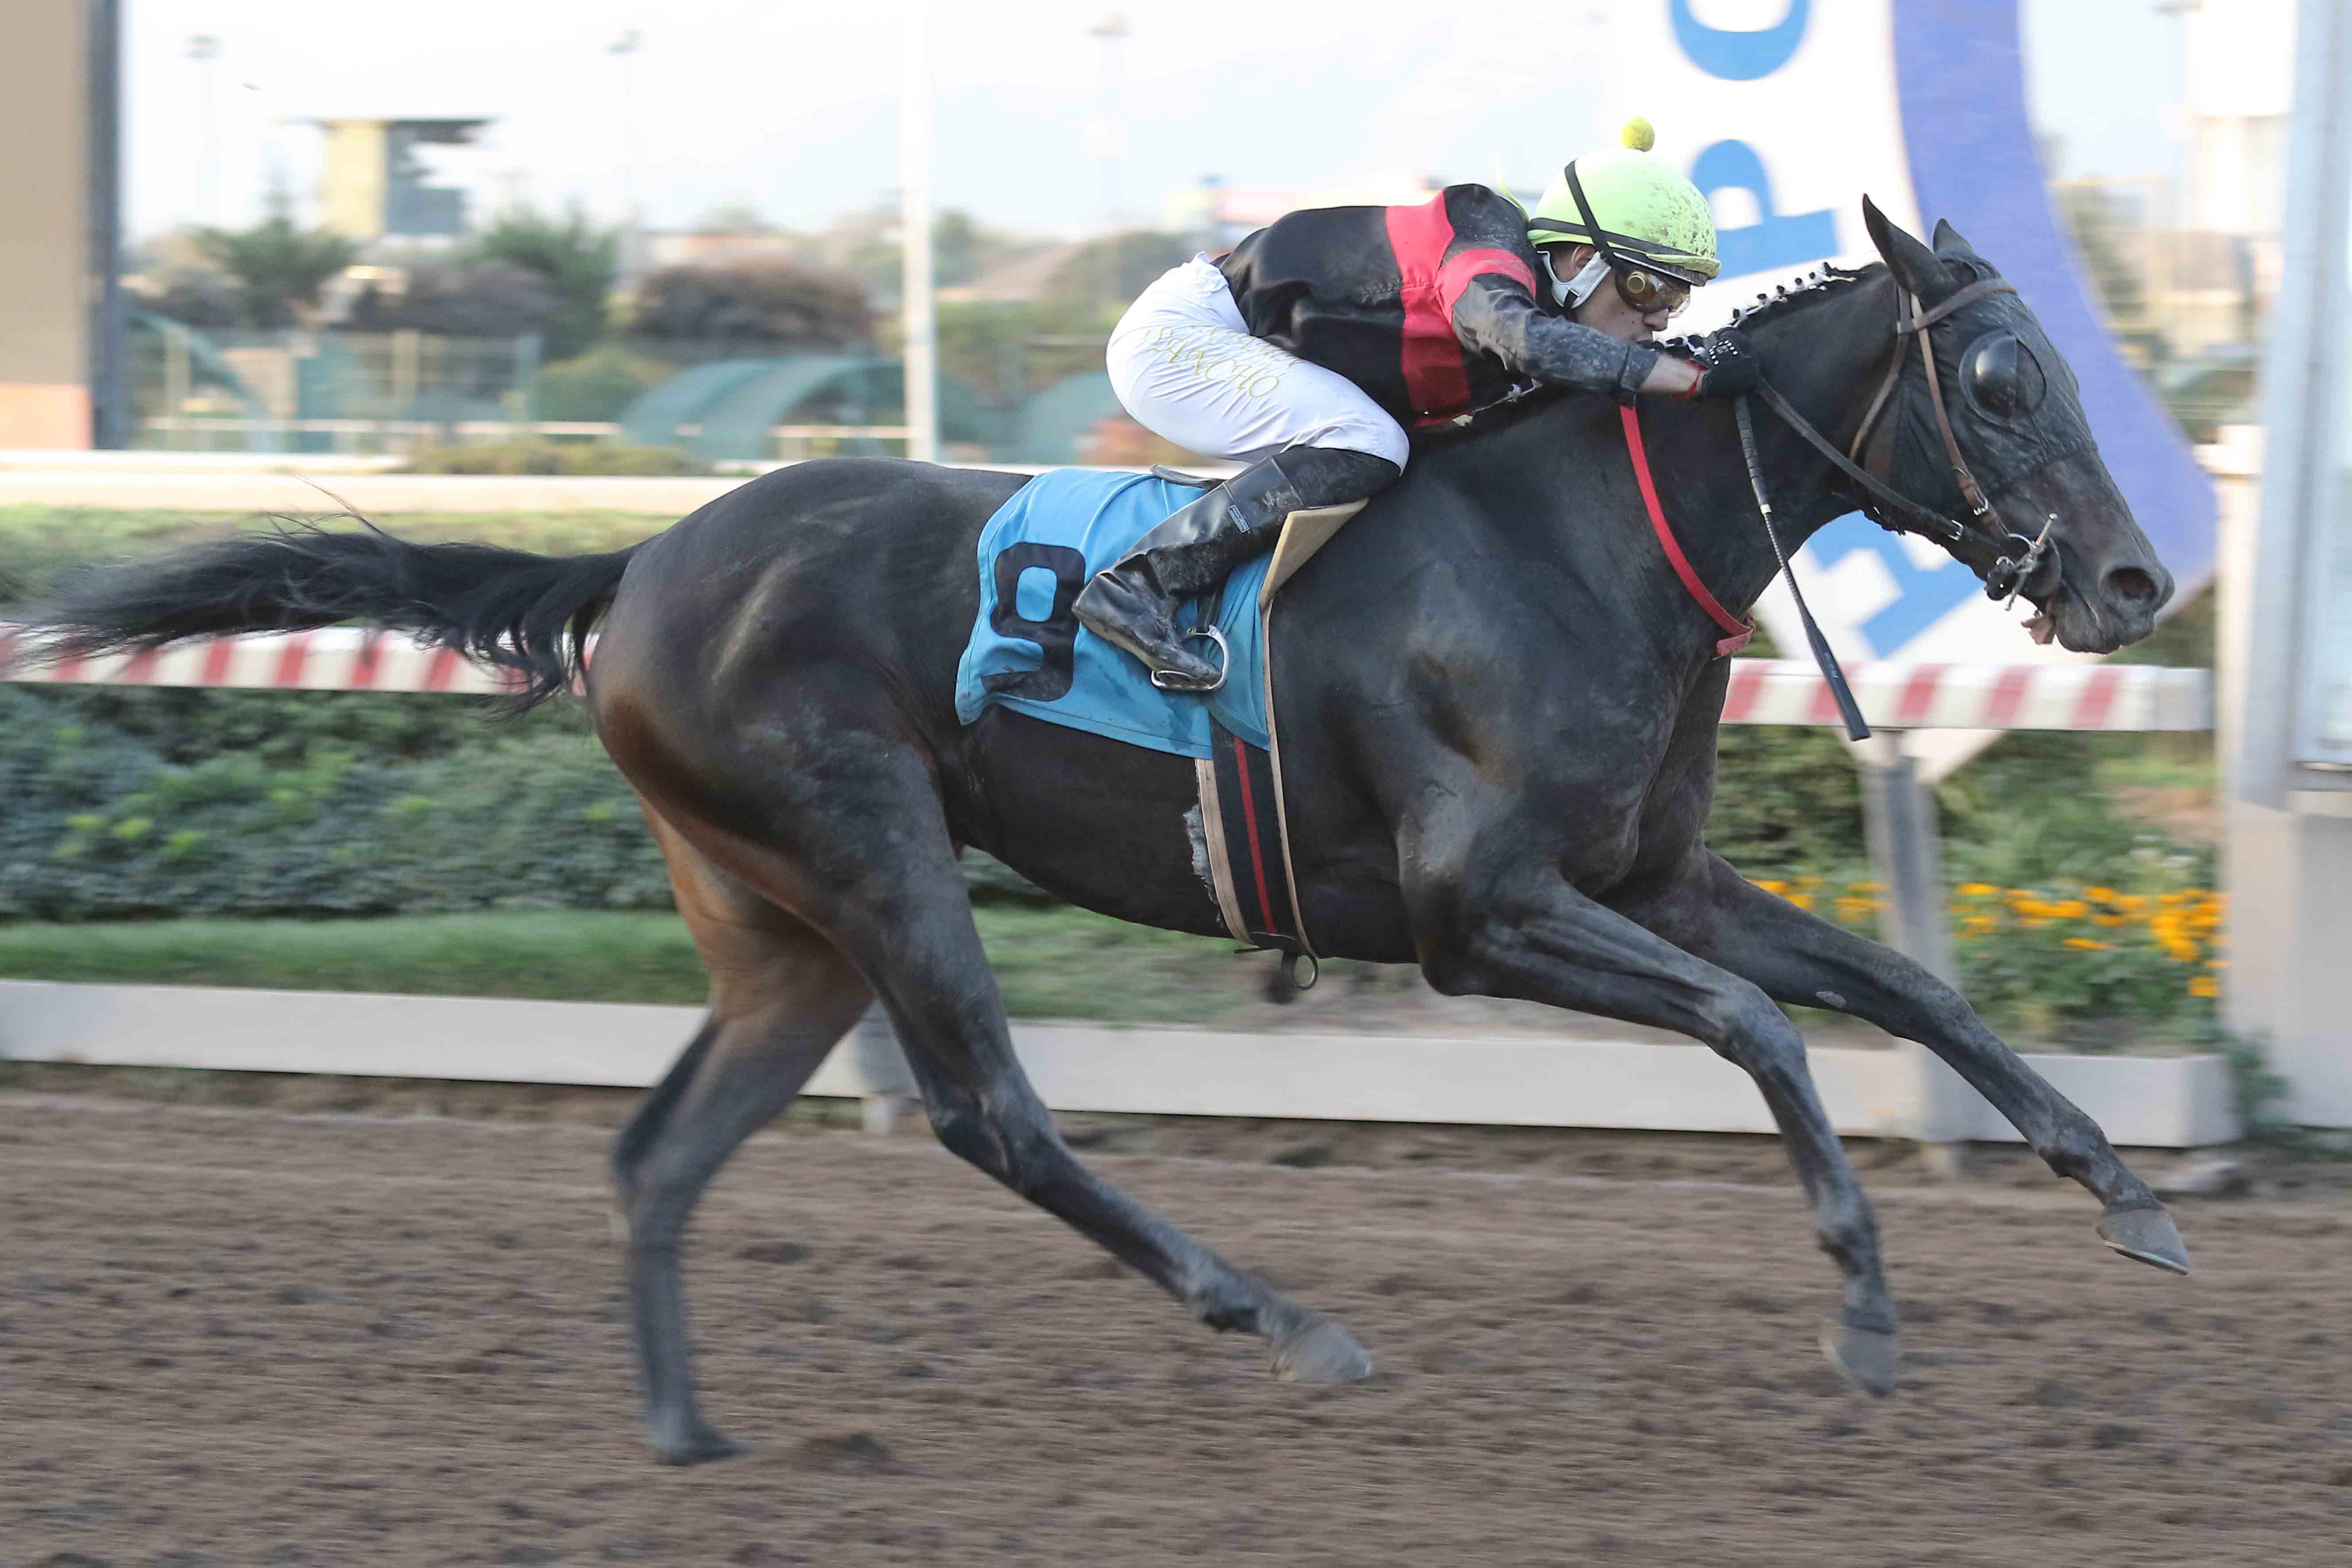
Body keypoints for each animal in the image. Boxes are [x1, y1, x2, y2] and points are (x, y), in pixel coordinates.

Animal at [32, 201, 2188, 1465]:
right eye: (2003, 375)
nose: (2132, 583)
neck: (1573, 537)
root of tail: (641, 561)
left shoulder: (1648, 877)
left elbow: (1906, 990)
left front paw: (2129, 1195)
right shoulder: (1479, 910)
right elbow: (1763, 1033)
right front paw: (1862, 1307)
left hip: (780, 926)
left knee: (662, 1155)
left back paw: (685, 1435)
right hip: (876, 850)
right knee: (993, 1114)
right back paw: (1284, 1318)